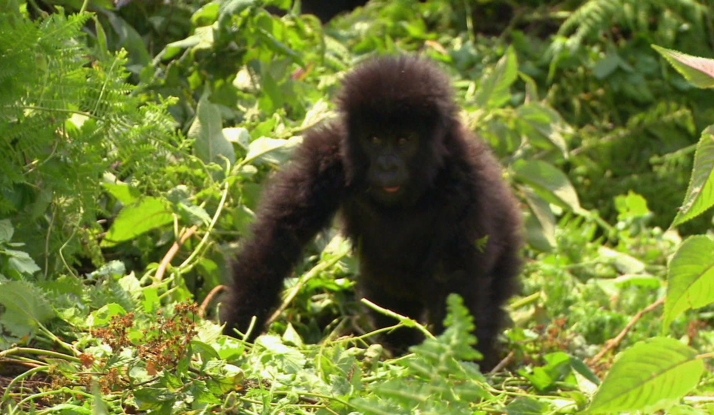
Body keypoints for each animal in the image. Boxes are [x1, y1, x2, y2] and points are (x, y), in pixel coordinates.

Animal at [220, 55, 520, 370]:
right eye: (373, 138)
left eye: (403, 140)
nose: (387, 166)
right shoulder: (325, 154)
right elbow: (277, 237)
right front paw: (237, 329)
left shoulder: (465, 179)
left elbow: (458, 278)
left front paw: (455, 364)